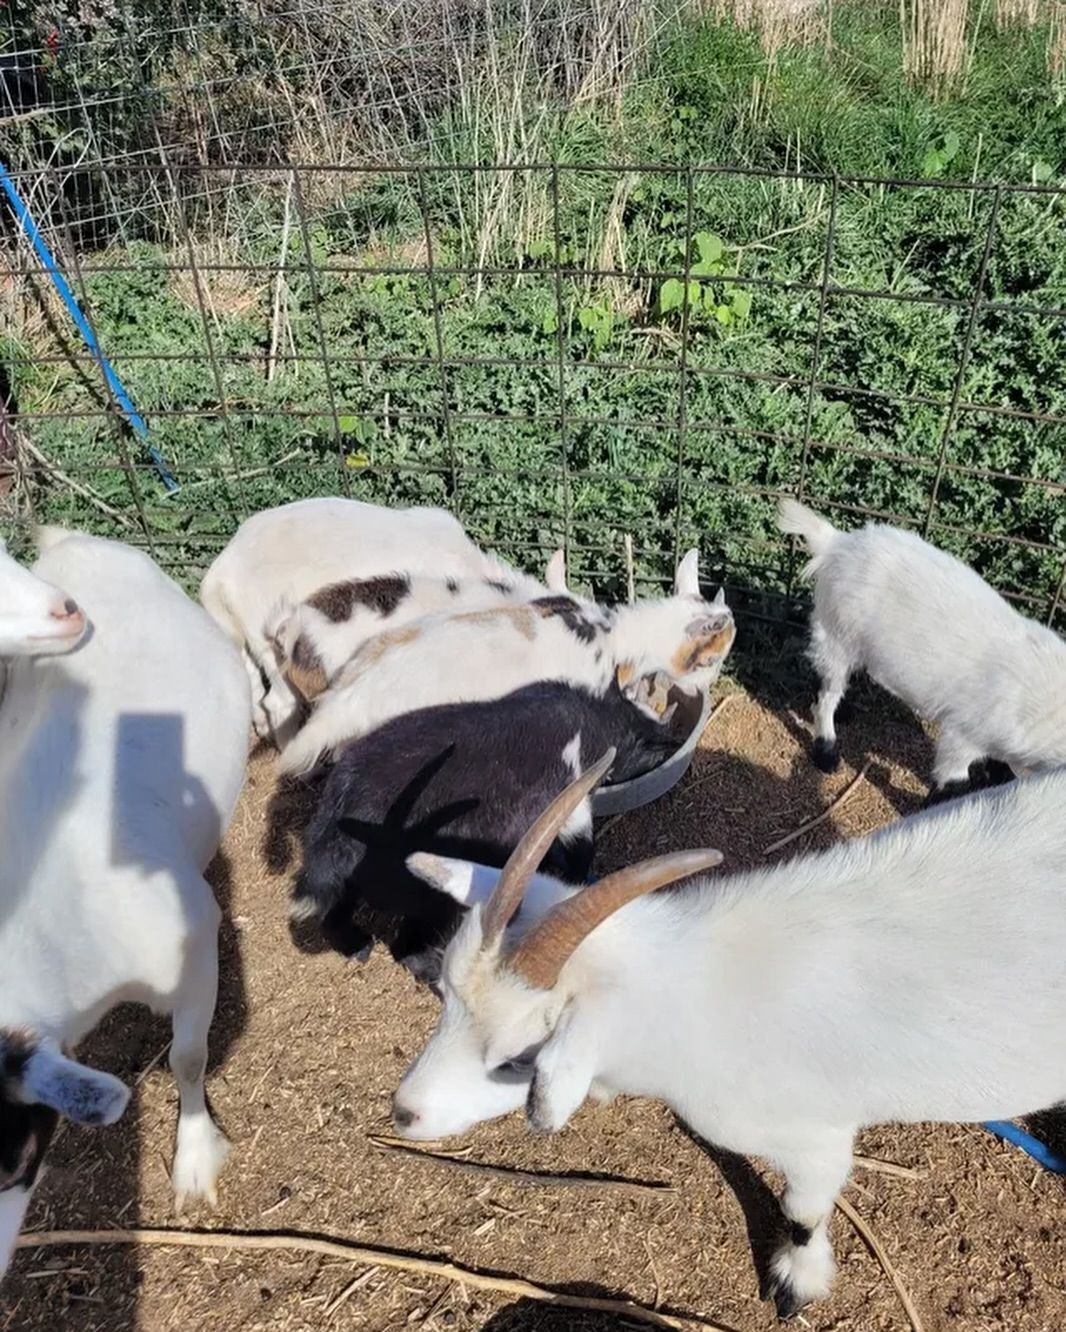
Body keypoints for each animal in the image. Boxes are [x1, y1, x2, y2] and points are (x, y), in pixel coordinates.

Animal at [291, 678, 691, 978]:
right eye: (650, 746)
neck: (596, 721)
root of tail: (336, 811)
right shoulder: (574, 799)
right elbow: (581, 848)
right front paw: (583, 878)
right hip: (428, 896)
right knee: (407, 948)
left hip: (345, 881)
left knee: (332, 910)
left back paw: (357, 947)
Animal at [392, 755, 1066, 1319]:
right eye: (444, 995)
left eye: (519, 1059)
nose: (403, 1113)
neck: (695, 988)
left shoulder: (816, 1136)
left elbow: (803, 1212)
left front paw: (797, 1284)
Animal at [778, 497, 1066, 796]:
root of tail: (836, 543)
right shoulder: (962, 736)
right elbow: (952, 785)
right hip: (836, 635)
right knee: (825, 695)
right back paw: (826, 753)